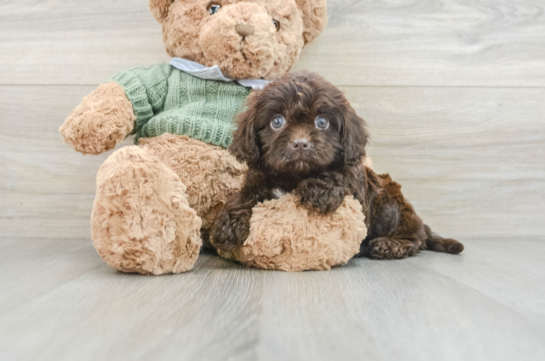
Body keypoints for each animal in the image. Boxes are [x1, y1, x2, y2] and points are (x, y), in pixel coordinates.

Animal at [210, 71, 462, 258]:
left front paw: (319, 189)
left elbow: (340, 173)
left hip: (390, 206)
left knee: (416, 240)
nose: (300, 144)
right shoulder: (258, 180)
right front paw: (228, 225)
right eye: (276, 122)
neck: (295, 176)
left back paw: (390, 245)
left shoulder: (356, 186)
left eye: (322, 122)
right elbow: (243, 196)